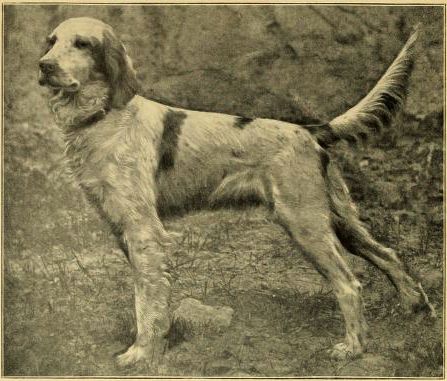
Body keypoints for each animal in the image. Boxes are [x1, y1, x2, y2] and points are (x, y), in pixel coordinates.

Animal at [39, 17, 434, 366]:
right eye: (52, 41)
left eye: (82, 44)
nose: (43, 66)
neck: (105, 116)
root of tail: (311, 130)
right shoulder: (124, 231)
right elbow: (151, 295)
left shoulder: (144, 233)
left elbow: (146, 300)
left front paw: (140, 354)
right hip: (341, 221)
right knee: (389, 255)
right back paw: (417, 309)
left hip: (305, 224)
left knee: (349, 283)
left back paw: (352, 348)